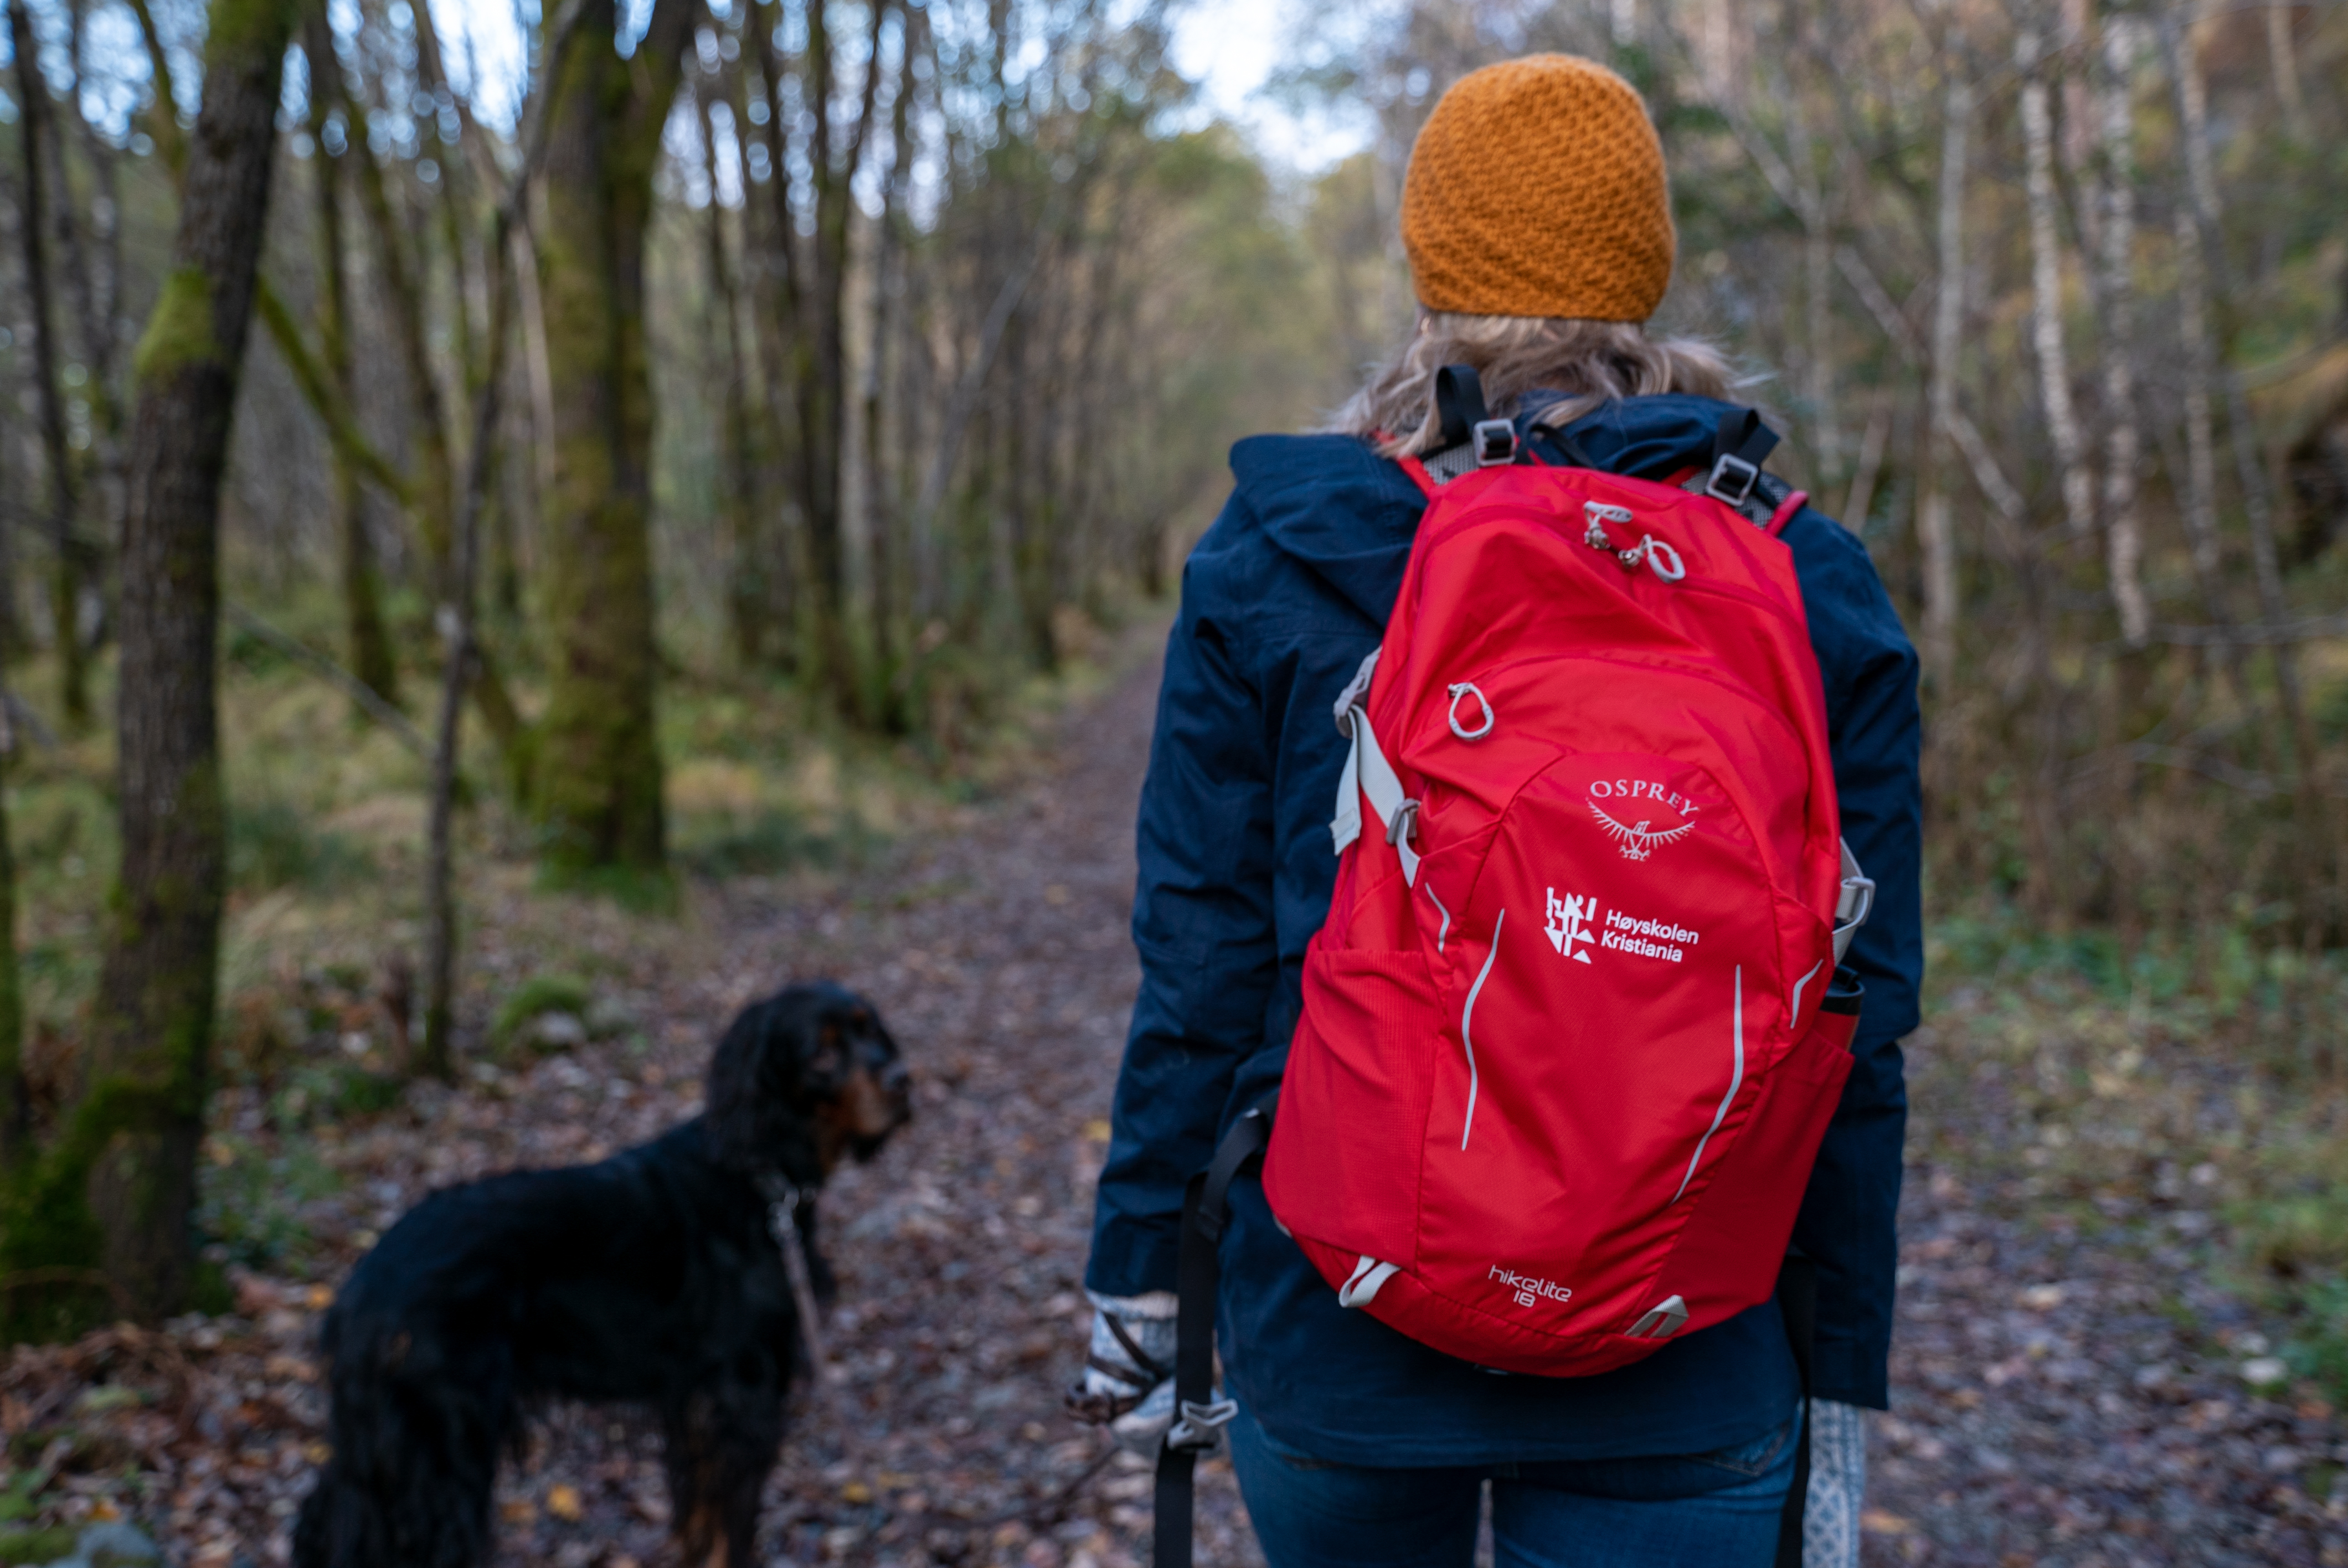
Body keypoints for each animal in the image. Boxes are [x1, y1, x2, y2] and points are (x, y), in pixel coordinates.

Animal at [291, 981, 906, 1568]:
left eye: (869, 1029)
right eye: (822, 1053)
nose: (902, 1079)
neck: (761, 1174)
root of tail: (358, 1291)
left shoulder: (698, 1404)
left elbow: (702, 1521)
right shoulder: (740, 1394)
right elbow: (728, 1528)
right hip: (439, 1452)